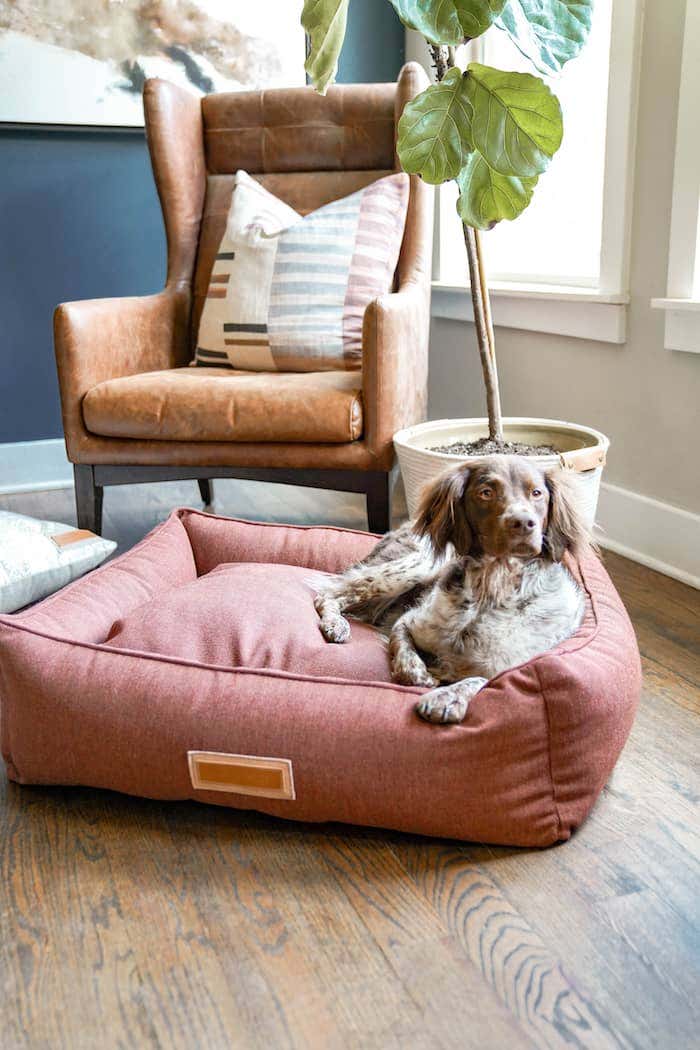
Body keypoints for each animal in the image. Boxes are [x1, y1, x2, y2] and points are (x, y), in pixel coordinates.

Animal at [312, 455, 591, 726]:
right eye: (486, 492)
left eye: (536, 493)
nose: (523, 523)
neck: (488, 590)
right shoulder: (407, 622)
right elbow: (407, 663)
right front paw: (425, 676)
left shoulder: (503, 668)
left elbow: (476, 680)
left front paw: (446, 698)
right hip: (415, 568)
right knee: (329, 594)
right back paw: (336, 624)